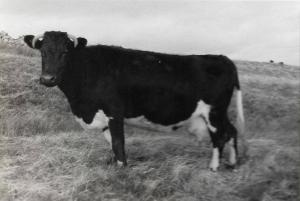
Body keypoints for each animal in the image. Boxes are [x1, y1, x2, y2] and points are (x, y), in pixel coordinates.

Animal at [23, 31, 244, 171]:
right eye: (42, 51)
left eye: (65, 52)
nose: (48, 79)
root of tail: (221, 58)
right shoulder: (103, 117)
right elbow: (112, 144)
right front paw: (113, 165)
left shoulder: (114, 112)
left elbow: (118, 143)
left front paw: (122, 170)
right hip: (218, 113)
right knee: (232, 131)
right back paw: (233, 164)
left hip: (213, 112)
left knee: (220, 137)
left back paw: (214, 167)